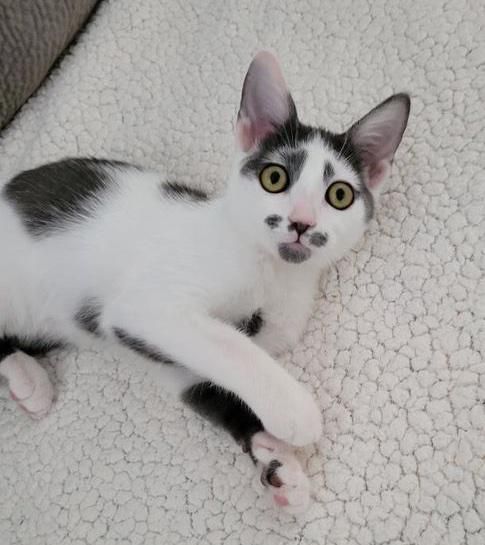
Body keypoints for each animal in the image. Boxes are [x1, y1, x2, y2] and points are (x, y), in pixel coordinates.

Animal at [0, 51, 408, 510]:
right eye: (274, 178)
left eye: (339, 195)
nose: (301, 223)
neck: (271, 274)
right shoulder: (146, 310)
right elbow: (232, 347)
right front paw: (295, 411)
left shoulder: (171, 359)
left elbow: (214, 387)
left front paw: (277, 464)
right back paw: (28, 379)